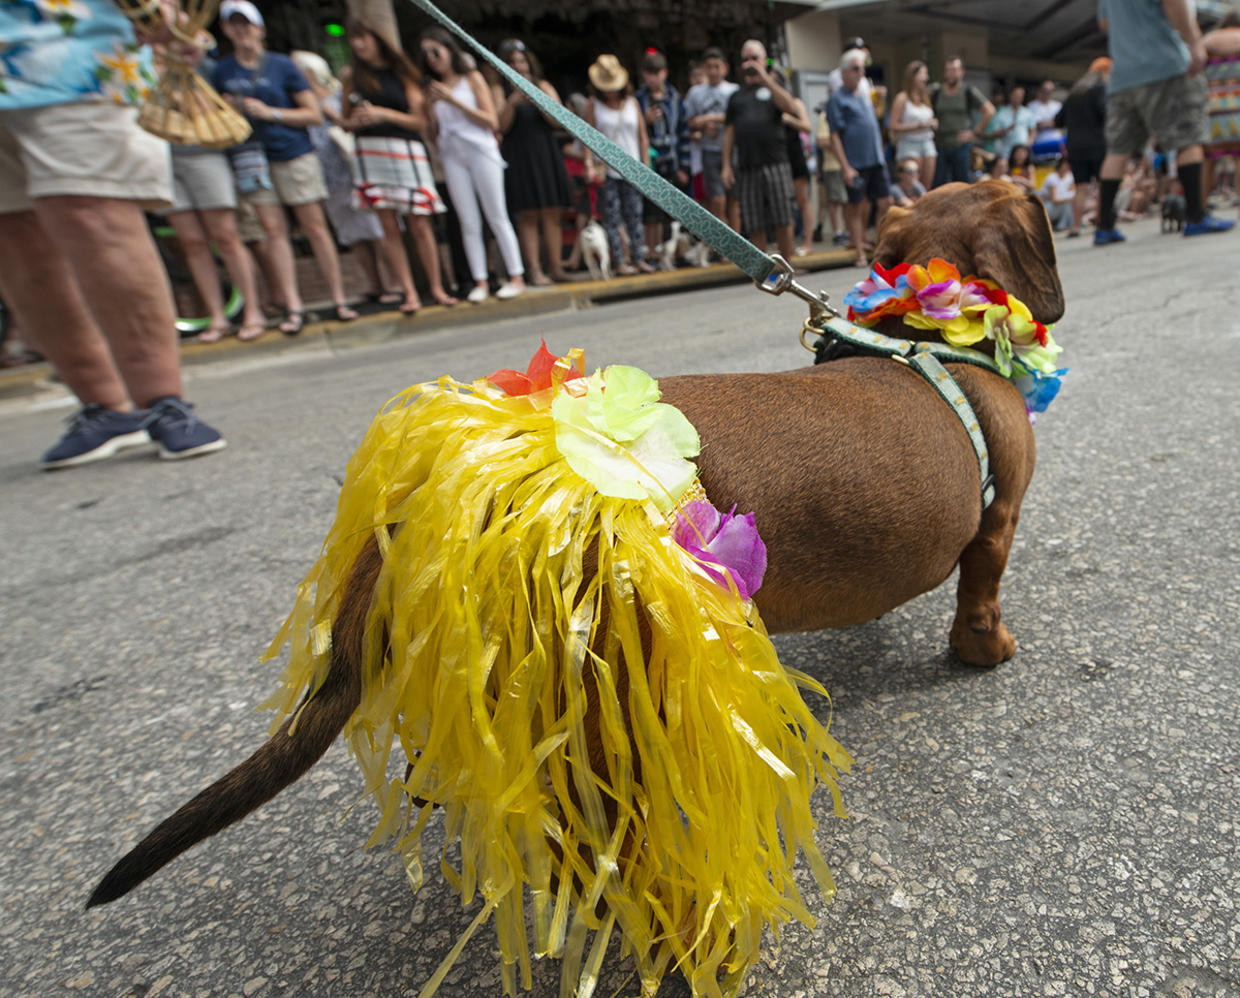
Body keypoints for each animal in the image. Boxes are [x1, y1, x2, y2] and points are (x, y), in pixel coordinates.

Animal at [87, 177, 1061, 967]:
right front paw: (988, 650)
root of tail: (474, 469)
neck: (929, 337)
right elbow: (982, 594)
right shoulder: (999, 522)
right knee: (601, 853)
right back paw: (685, 940)